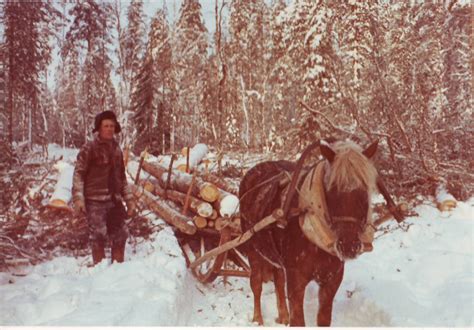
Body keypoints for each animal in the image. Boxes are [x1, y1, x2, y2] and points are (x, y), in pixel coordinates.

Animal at [239, 139, 380, 324]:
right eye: (332, 190)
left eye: (364, 191)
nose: (349, 245)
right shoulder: (296, 280)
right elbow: (298, 319)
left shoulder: (331, 281)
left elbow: (323, 318)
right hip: (253, 249)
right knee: (256, 284)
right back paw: (257, 319)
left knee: (278, 280)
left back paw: (283, 316)